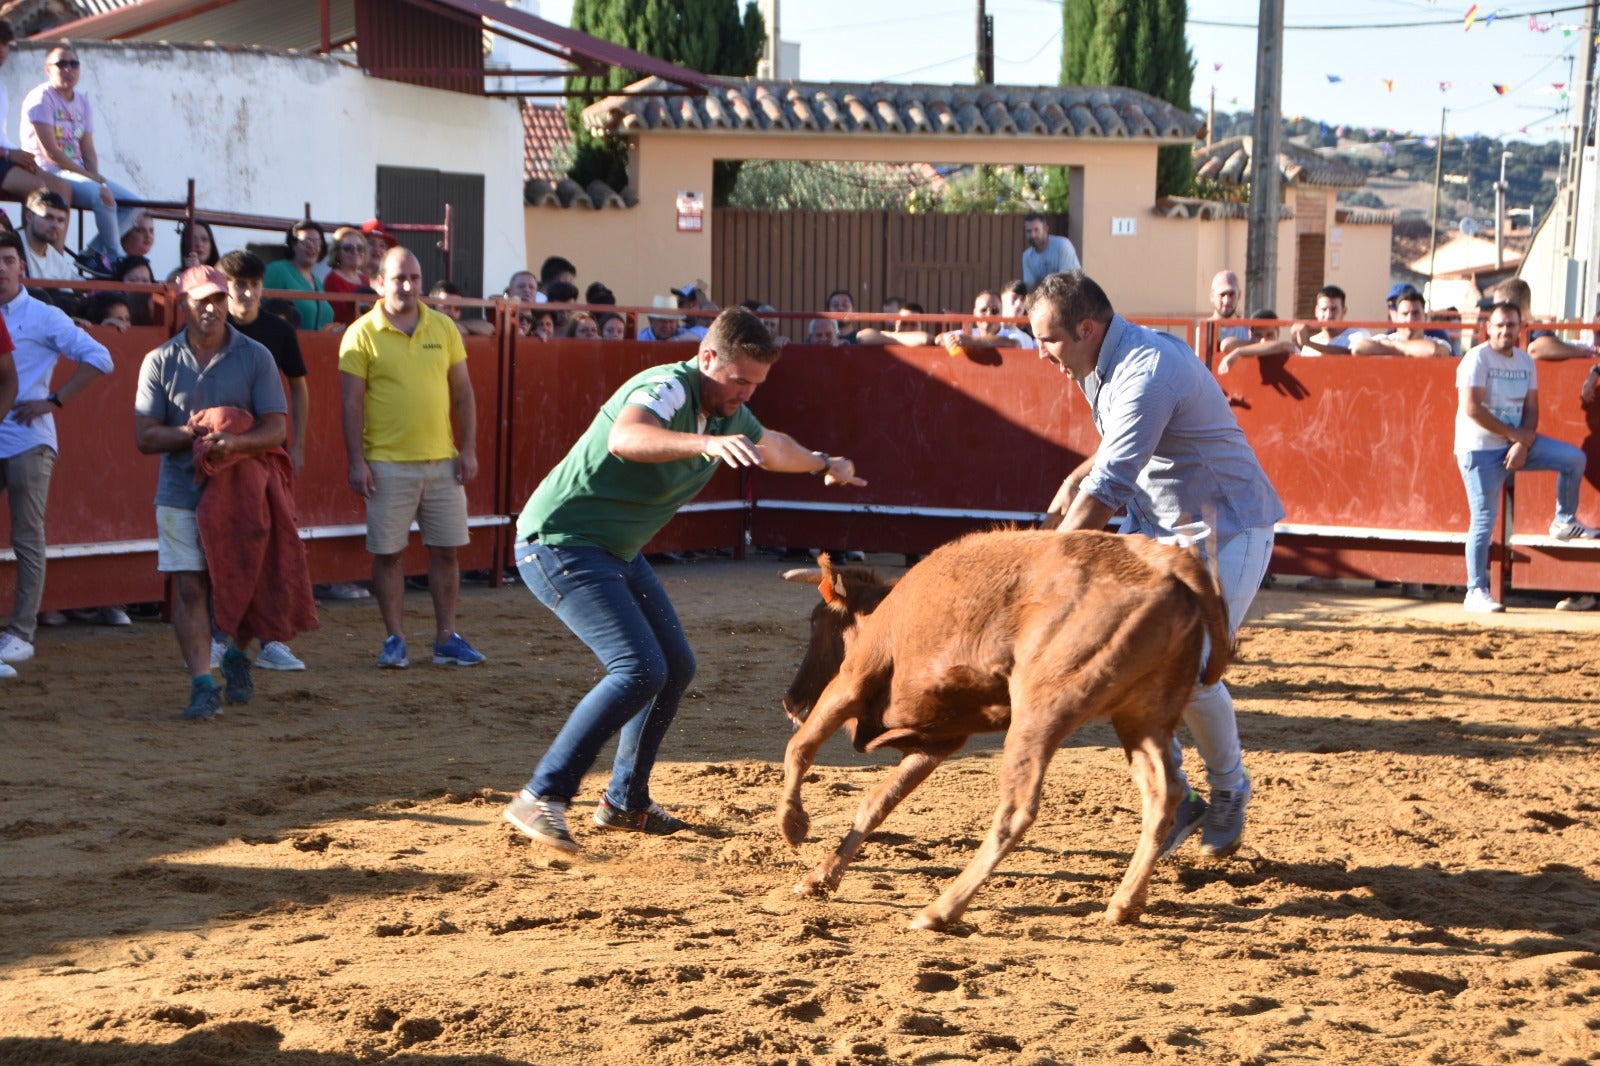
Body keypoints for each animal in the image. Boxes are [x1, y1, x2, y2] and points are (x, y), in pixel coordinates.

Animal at [780, 528, 1228, 928]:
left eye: (817, 622)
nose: (792, 701)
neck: (886, 608)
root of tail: (1165, 565)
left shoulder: (851, 682)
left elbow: (800, 747)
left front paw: (793, 825)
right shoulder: (937, 743)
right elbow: (877, 802)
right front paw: (822, 876)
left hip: (1040, 712)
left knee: (1017, 809)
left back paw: (941, 911)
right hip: (1143, 718)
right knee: (1162, 795)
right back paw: (1125, 903)